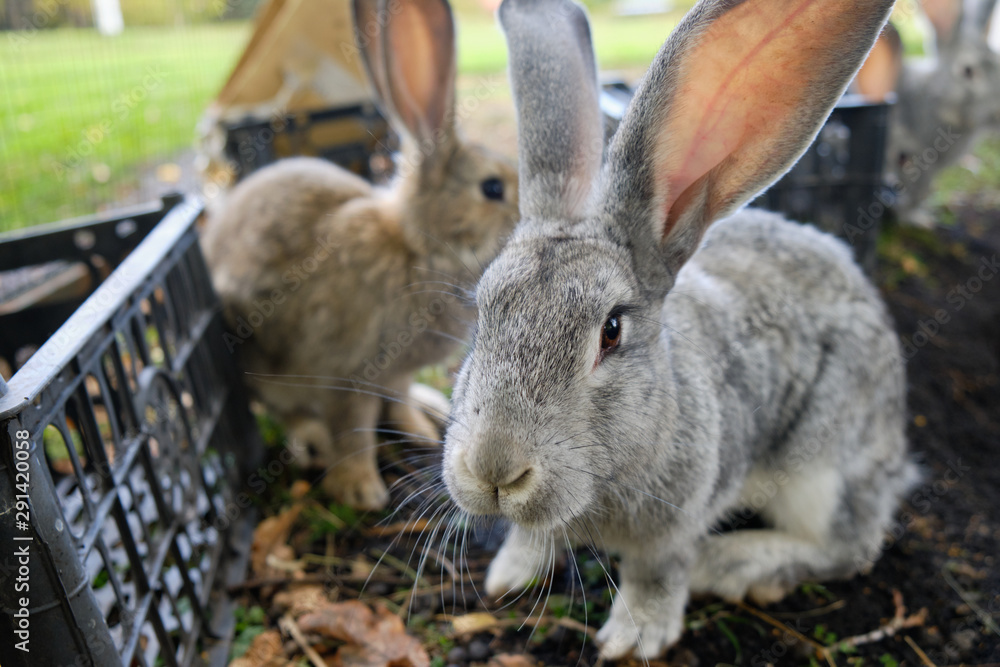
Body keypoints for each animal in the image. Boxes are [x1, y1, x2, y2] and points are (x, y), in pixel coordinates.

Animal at [201, 0, 518, 510]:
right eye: (492, 188)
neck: (418, 247)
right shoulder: (347, 374)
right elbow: (353, 433)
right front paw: (361, 491)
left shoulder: (395, 376)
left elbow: (399, 401)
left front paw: (420, 434)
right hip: (259, 366)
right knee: (287, 411)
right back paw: (311, 442)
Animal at [441, 0, 918, 659]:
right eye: (483, 308)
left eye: (611, 331)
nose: (493, 470)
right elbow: (534, 536)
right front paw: (507, 576)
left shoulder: (676, 523)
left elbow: (657, 572)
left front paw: (634, 637)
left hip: (823, 465)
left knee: (848, 545)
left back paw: (734, 564)